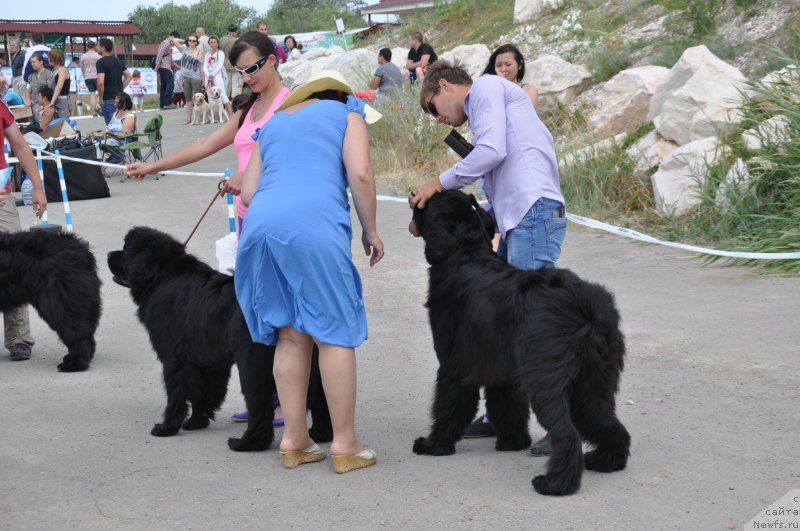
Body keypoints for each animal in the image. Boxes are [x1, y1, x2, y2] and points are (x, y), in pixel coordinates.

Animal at [107, 227, 332, 450]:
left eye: (125, 250)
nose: (108, 254)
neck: (162, 276)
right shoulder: (209, 363)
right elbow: (204, 394)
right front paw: (196, 422)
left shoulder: (174, 360)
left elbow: (176, 395)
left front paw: (166, 428)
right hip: (312, 361)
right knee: (321, 398)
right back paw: (320, 434)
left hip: (252, 364)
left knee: (260, 403)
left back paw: (247, 443)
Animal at [412, 192, 632, 498]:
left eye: (429, 203)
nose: (414, 195)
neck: (465, 256)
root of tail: (582, 307)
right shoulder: (502, 370)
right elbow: (508, 405)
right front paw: (513, 441)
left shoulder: (453, 366)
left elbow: (448, 406)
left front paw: (434, 445)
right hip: (594, 382)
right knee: (605, 420)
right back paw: (606, 461)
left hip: (548, 380)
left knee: (567, 434)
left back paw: (556, 483)